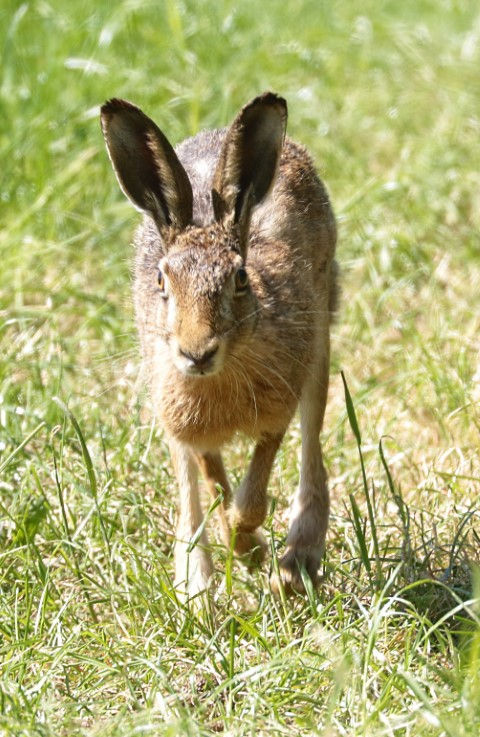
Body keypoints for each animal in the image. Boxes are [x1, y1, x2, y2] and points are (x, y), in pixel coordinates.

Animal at [100, 92, 338, 598]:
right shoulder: (189, 427)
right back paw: (196, 588)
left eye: (240, 278)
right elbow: (213, 483)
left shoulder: (278, 410)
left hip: (321, 340)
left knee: (312, 443)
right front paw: (245, 551)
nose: (196, 352)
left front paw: (254, 548)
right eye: (161, 281)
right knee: (190, 491)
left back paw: (297, 564)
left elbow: (252, 498)